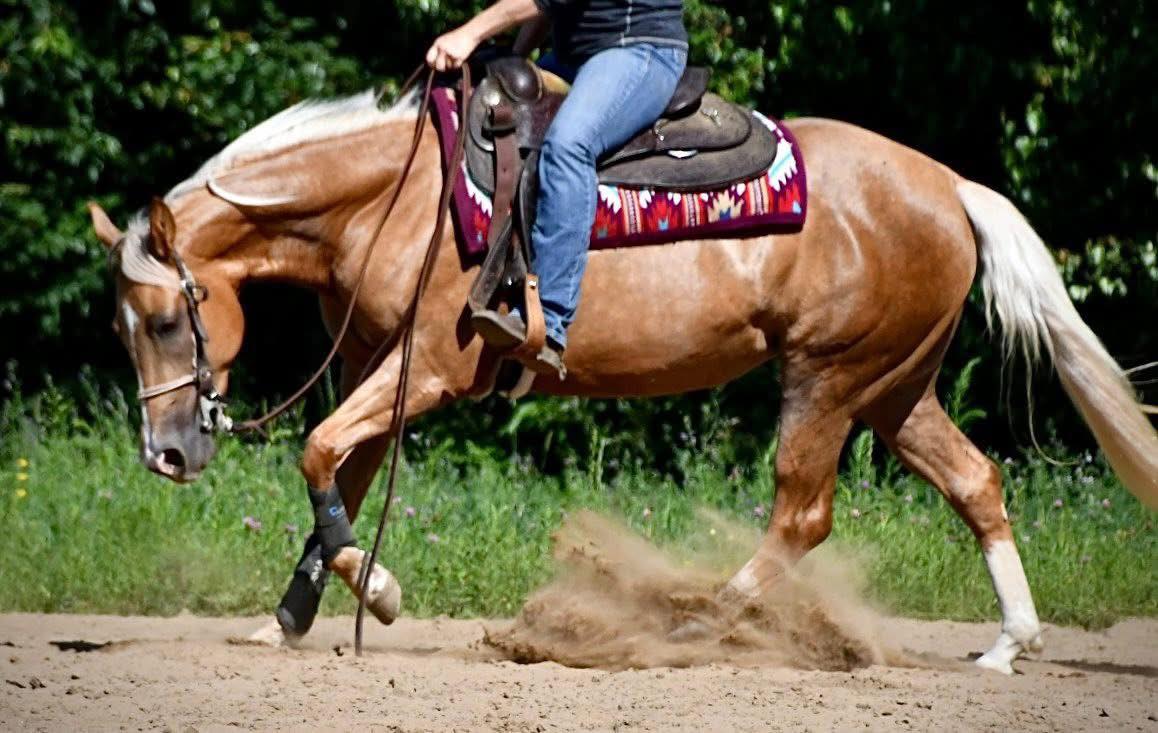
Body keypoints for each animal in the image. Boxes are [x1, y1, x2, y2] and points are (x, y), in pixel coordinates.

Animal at [88, 84, 1157, 675]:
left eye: (164, 318)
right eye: (123, 324)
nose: (165, 452)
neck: (397, 199)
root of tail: (949, 184)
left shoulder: (425, 368)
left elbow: (315, 453)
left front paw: (381, 592)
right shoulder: (372, 368)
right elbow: (333, 486)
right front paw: (290, 623)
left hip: (827, 378)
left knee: (801, 515)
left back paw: (690, 624)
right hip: (895, 386)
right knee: (976, 480)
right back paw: (1009, 644)